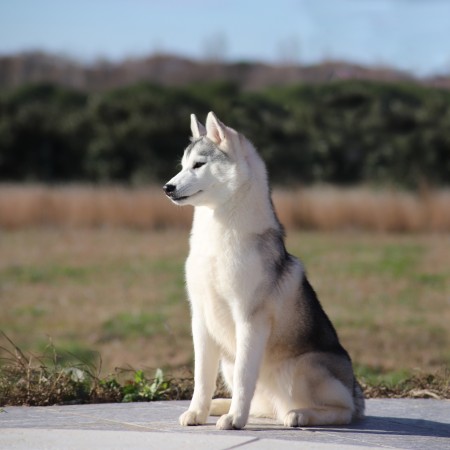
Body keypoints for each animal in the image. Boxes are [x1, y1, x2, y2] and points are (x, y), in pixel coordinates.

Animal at [163, 111, 364, 428]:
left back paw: (301, 414)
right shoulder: (201, 319)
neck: (217, 237)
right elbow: (201, 378)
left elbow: (245, 377)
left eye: (199, 164)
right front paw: (198, 411)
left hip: (303, 367)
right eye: (182, 166)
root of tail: (357, 393)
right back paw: (220, 405)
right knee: (263, 404)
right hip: (228, 361)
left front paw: (235, 420)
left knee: (342, 409)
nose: (167, 188)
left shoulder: (249, 320)